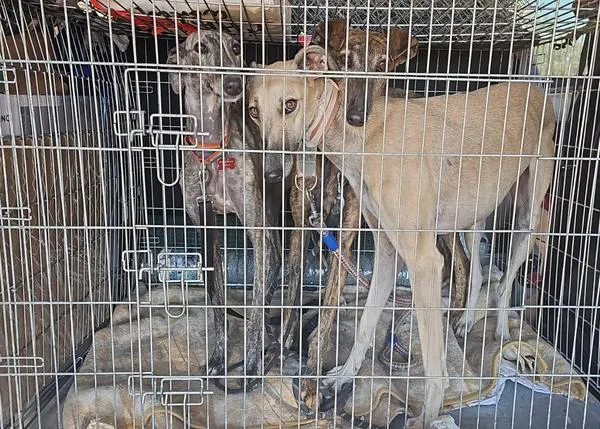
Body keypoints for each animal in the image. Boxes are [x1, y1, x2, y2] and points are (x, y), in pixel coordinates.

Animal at [166, 30, 282, 378]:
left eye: (235, 46)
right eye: (200, 47)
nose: (233, 84)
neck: (212, 149)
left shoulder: (254, 224)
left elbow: (255, 308)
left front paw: (254, 363)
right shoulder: (206, 229)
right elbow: (217, 301)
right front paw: (218, 356)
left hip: (272, 206)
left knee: (274, 260)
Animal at [246, 45, 556, 426]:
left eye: (289, 104)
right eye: (253, 111)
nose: (272, 173)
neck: (365, 137)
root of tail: (534, 90)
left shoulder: (424, 262)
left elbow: (436, 367)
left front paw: (430, 416)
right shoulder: (387, 252)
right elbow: (365, 324)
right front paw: (343, 376)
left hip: (528, 214)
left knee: (506, 276)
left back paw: (500, 329)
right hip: (474, 218)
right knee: (478, 271)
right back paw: (467, 319)